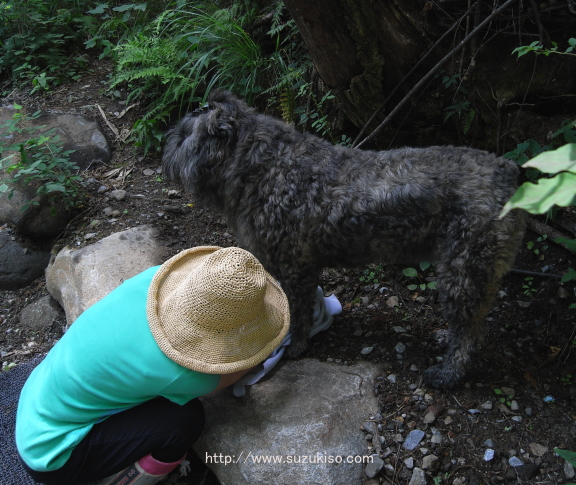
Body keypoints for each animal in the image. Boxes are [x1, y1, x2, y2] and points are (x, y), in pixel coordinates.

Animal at [162, 89, 528, 388]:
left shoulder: (295, 269)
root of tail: (508, 172)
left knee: (469, 332)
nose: (164, 153)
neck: (265, 166)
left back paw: (449, 373)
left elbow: (298, 313)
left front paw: (296, 344)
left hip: (462, 272)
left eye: (183, 135)